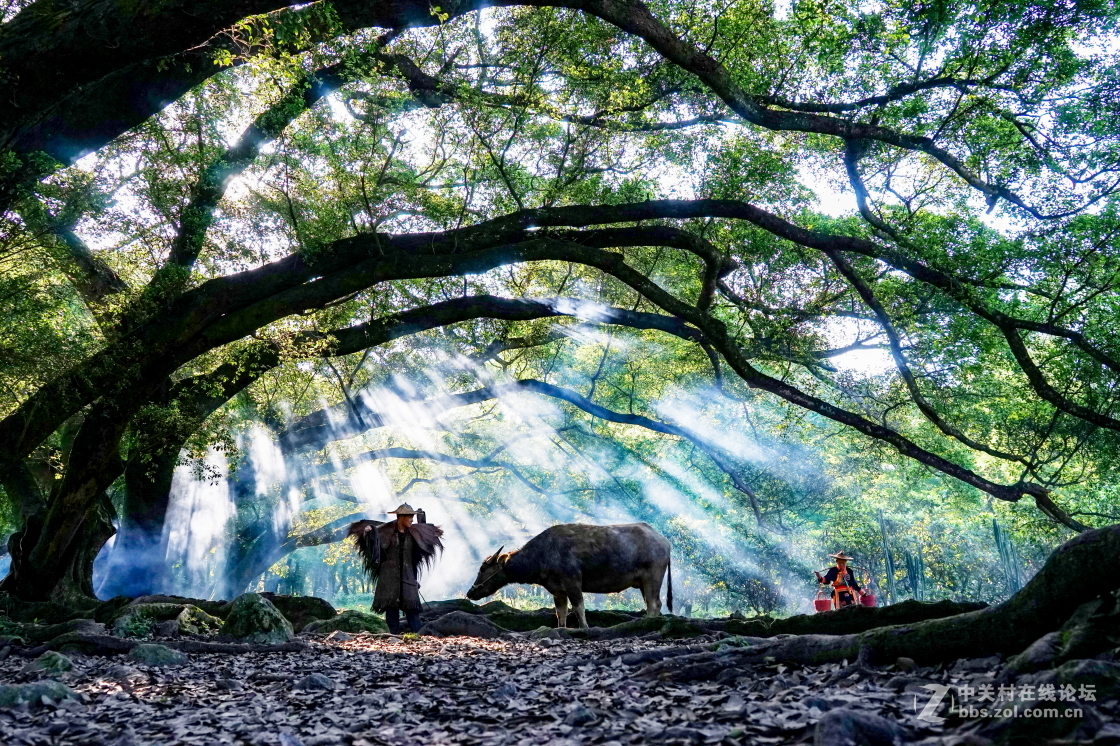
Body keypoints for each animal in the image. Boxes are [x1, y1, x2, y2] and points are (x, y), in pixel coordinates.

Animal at [465, 521, 672, 627]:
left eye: (483, 569)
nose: (470, 593)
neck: (542, 554)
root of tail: (665, 542)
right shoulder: (557, 590)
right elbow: (561, 613)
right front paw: (563, 629)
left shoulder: (573, 583)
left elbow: (579, 608)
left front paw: (584, 628)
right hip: (643, 583)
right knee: (652, 603)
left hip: (653, 577)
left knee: (654, 603)